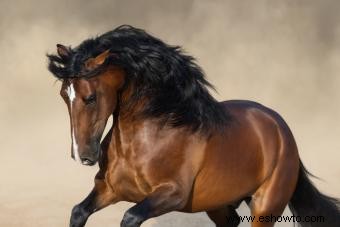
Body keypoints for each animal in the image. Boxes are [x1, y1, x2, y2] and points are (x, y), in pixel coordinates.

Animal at [46, 25, 338, 226]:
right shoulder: (109, 189)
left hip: (265, 207)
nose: (82, 155)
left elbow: (130, 216)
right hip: (219, 204)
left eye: (90, 97)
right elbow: (78, 212)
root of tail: (281, 128)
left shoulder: (171, 194)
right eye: (63, 95)